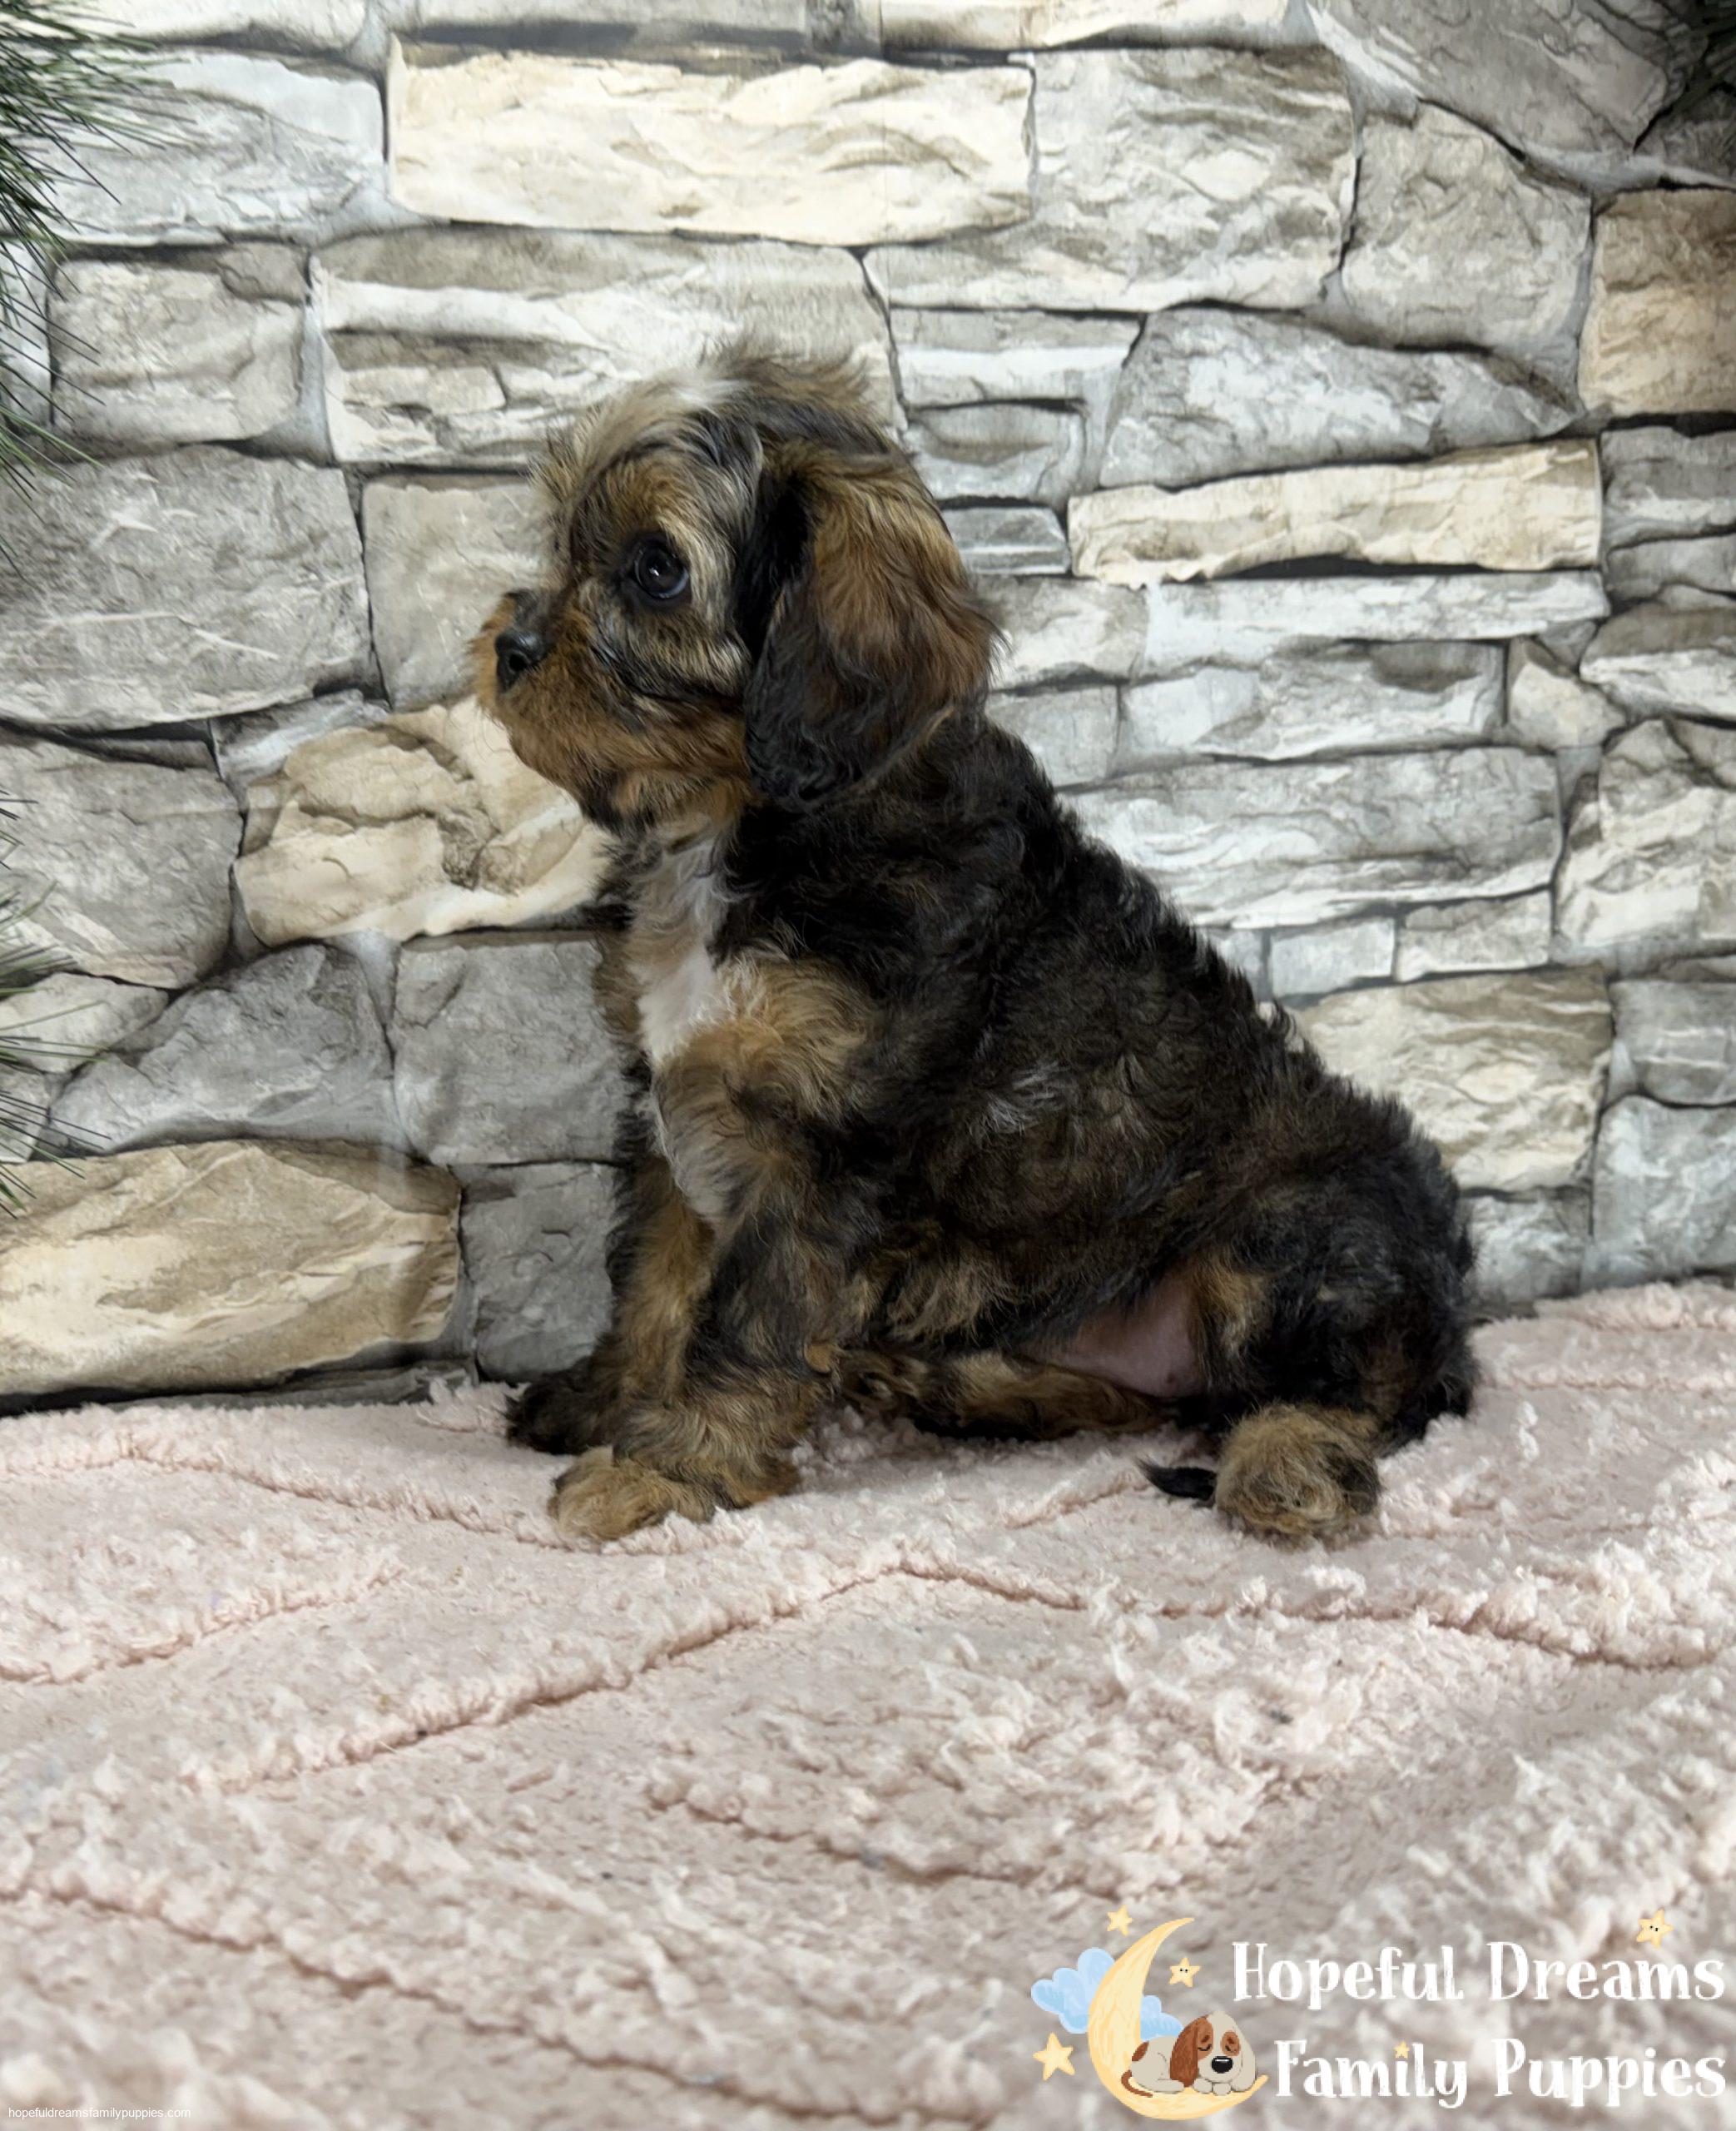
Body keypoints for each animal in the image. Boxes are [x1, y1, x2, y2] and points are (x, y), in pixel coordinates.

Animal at [474, 346, 1476, 1544]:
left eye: (656, 571)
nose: (509, 647)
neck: (744, 826)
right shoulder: (677, 1107)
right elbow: (657, 1280)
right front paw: (609, 1400)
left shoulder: (821, 1152)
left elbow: (746, 1321)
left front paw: (668, 1470)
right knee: (1142, 1398)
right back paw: (941, 1383)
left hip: (1295, 1229)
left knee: (1344, 1394)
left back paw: (1286, 1464)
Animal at [1127, 2014, 1258, 2098]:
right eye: (1204, 2047)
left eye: (1231, 2046)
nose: (1222, 2064)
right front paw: (1204, 2084)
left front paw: (1222, 2086)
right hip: (1156, 2059)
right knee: (1148, 2081)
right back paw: (1173, 2085)